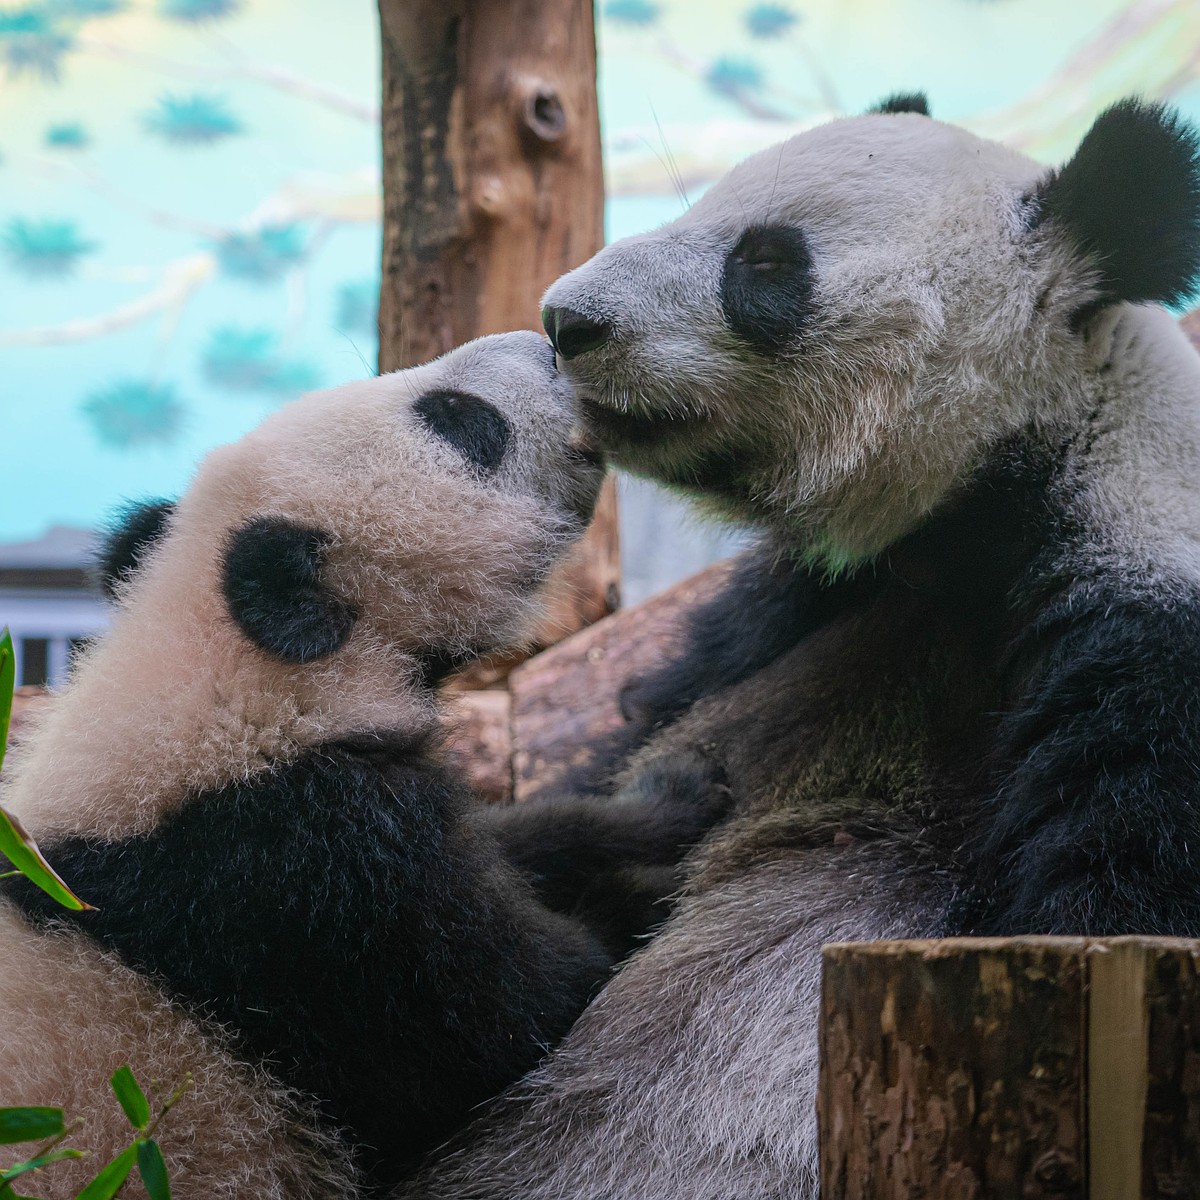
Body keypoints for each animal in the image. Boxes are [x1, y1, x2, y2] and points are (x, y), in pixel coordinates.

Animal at [0, 331, 724, 1200]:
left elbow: (522, 843)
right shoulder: (292, 878)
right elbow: (501, 1017)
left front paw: (663, 798)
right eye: (458, 420)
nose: (547, 341)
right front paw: (650, 891)